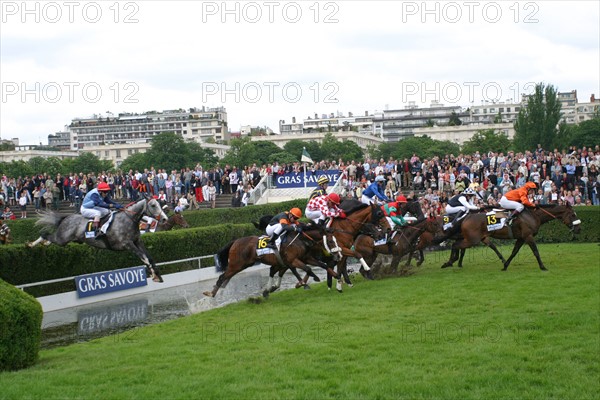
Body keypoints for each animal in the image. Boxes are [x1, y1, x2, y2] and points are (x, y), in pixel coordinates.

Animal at [26, 196, 168, 282]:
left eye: (159, 204)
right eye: (153, 205)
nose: (165, 219)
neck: (128, 220)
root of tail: (66, 217)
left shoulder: (137, 241)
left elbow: (149, 257)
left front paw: (158, 275)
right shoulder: (127, 244)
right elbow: (144, 258)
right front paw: (154, 275)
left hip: (64, 239)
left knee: (50, 238)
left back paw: (44, 243)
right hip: (62, 238)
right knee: (45, 234)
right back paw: (31, 244)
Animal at [205, 223, 338, 298]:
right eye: (331, 241)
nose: (337, 253)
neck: (299, 239)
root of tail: (235, 241)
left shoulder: (304, 258)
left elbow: (322, 265)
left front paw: (336, 275)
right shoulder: (292, 260)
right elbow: (307, 269)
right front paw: (309, 281)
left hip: (242, 265)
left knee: (227, 276)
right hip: (237, 264)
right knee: (222, 276)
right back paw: (211, 293)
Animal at [436, 203, 580, 272]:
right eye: (573, 215)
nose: (579, 228)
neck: (533, 215)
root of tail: (466, 217)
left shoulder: (521, 238)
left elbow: (514, 252)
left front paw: (505, 265)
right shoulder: (528, 236)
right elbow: (535, 252)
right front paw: (543, 267)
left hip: (475, 238)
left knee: (458, 246)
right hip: (473, 239)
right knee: (456, 245)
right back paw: (449, 262)